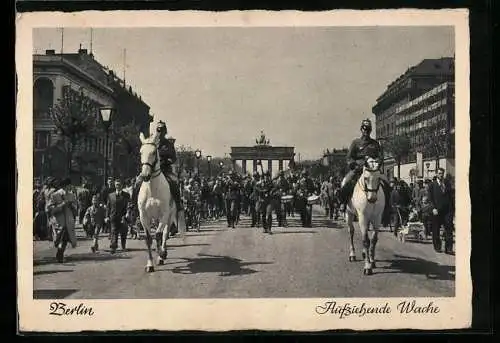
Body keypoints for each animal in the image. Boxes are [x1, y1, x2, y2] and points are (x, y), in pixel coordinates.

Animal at [138, 130, 183, 272]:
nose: (145, 175)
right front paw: (149, 264)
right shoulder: (144, 216)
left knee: (165, 233)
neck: (152, 189)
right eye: (141, 152)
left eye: (153, 152)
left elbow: (158, 235)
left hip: (169, 215)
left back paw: (163, 253)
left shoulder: (164, 214)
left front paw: (161, 254)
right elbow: (148, 238)